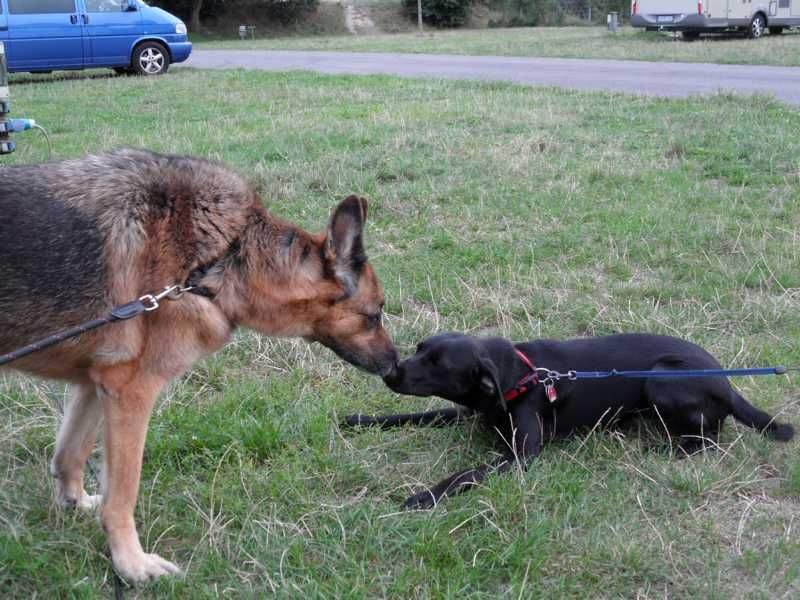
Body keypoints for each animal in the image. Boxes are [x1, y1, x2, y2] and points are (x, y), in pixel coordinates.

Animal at [0, 148, 398, 584]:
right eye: (375, 315)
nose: (395, 366)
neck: (221, 256)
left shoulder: (96, 382)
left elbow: (70, 454)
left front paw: (74, 503)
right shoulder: (131, 392)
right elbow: (123, 492)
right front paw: (131, 564)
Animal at [346, 332, 792, 510]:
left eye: (439, 365)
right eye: (420, 348)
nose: (389, 372)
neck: (518, 378)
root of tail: (728, 382)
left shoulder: (522, 455)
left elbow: (465, 474)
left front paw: (425, 495)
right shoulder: (468, 411)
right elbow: (417, 414)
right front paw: (362, 419)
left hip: (661, 379)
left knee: (711, 435)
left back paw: (670, 449)